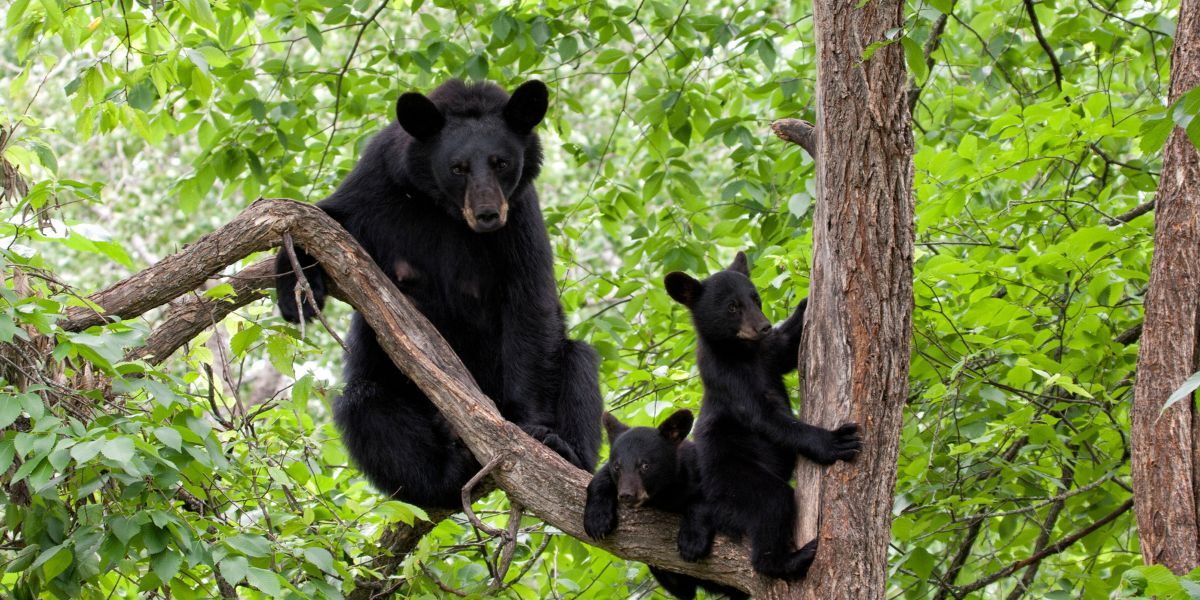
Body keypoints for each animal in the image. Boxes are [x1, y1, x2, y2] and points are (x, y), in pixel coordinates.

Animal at [274, 79, 603, 508]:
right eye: (457, 167)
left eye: (501, 162)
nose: (487, 215)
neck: (445, 210)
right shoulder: (379, 181)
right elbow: (325, 217)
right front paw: (294, 290)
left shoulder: (520, 217)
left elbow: (530, 304)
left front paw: (535, 431)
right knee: (365, 406)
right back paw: (445, 474)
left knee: (578, 363)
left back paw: (567, 451)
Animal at [584, 410, 747, 600]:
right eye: (617, 466)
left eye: (645, 465)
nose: (626, 495)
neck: (664, 493)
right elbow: (600, 479)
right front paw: (597, 521)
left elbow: (707, 501)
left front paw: (692, 542)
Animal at [663, 251, 862, 580]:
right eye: (733, 306)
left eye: (755, 298)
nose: (764, 326)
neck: (743, 353)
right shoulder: (729, 380)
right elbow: (768, 418)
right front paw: (834, 441)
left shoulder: (768, 355)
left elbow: (787, 349)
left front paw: (805, 303)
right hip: (734, 479)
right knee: (772, 503)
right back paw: (789, 559)